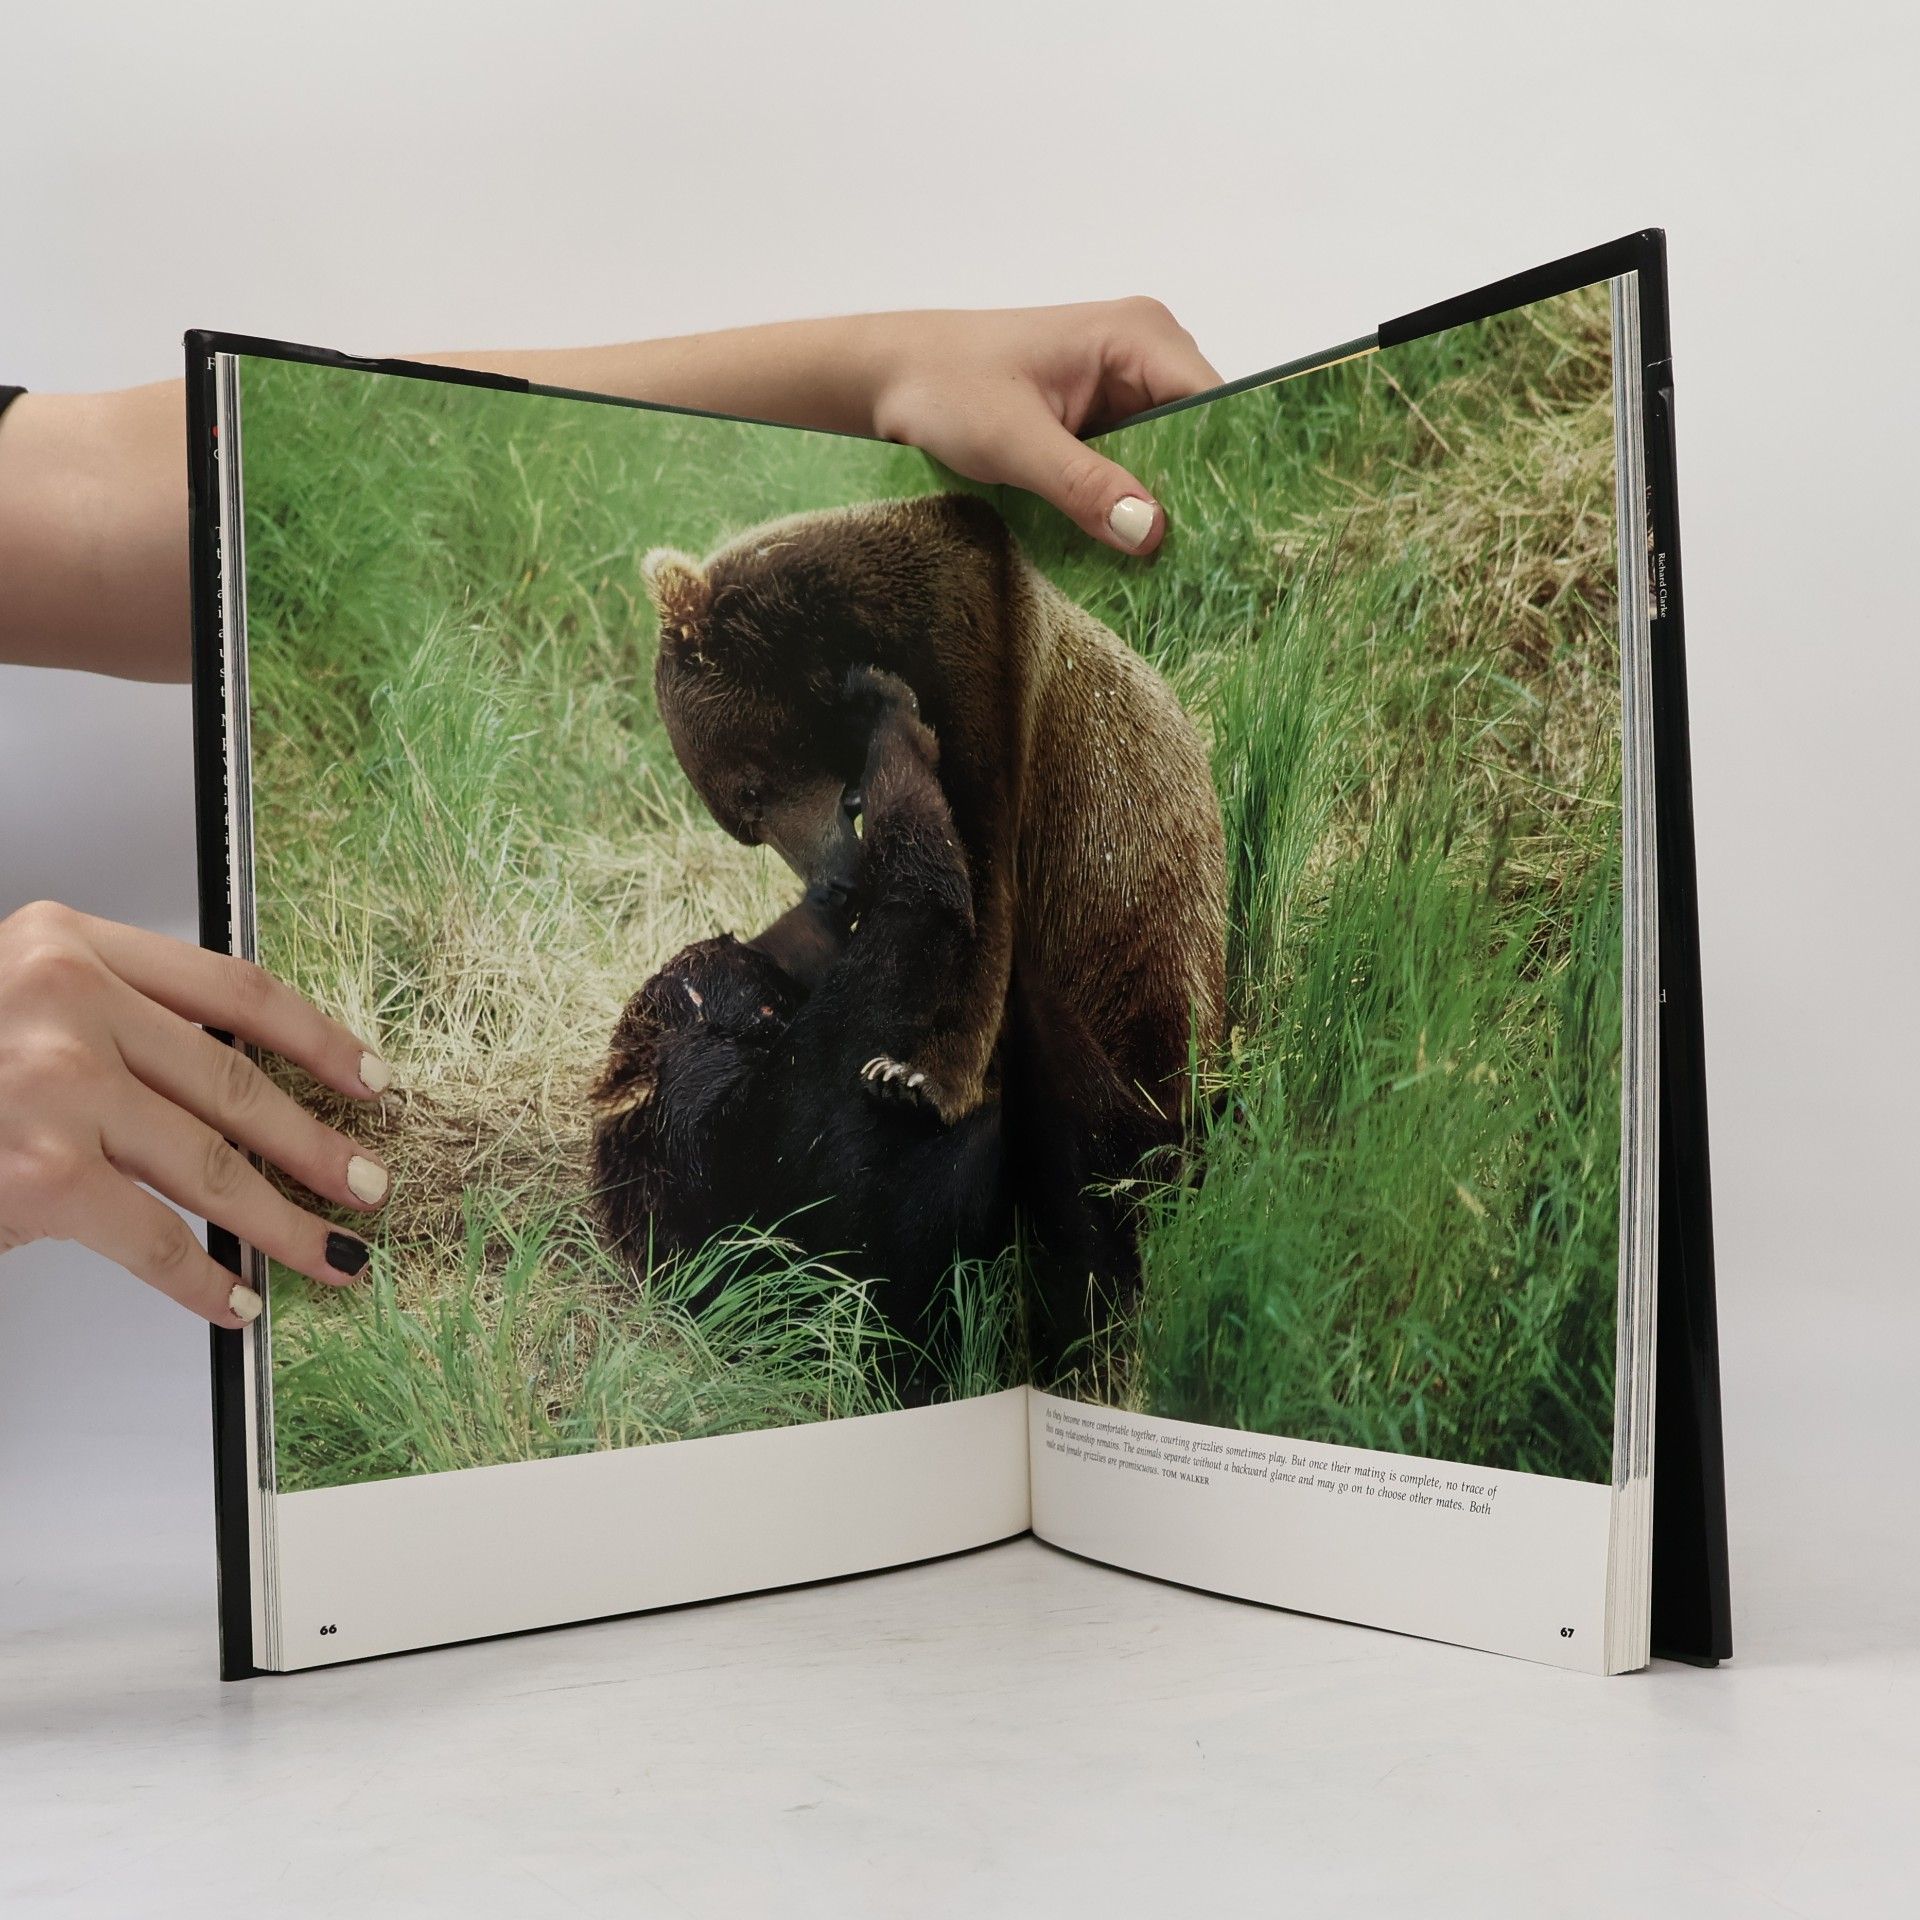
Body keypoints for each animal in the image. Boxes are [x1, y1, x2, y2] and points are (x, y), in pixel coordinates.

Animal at [640, 494, 1227, 1370]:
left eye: (749, 791)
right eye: (745, 819)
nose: (835, 881)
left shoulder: (979, 664)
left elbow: (980, 893)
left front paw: (916, 1075)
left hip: (1151, 930)